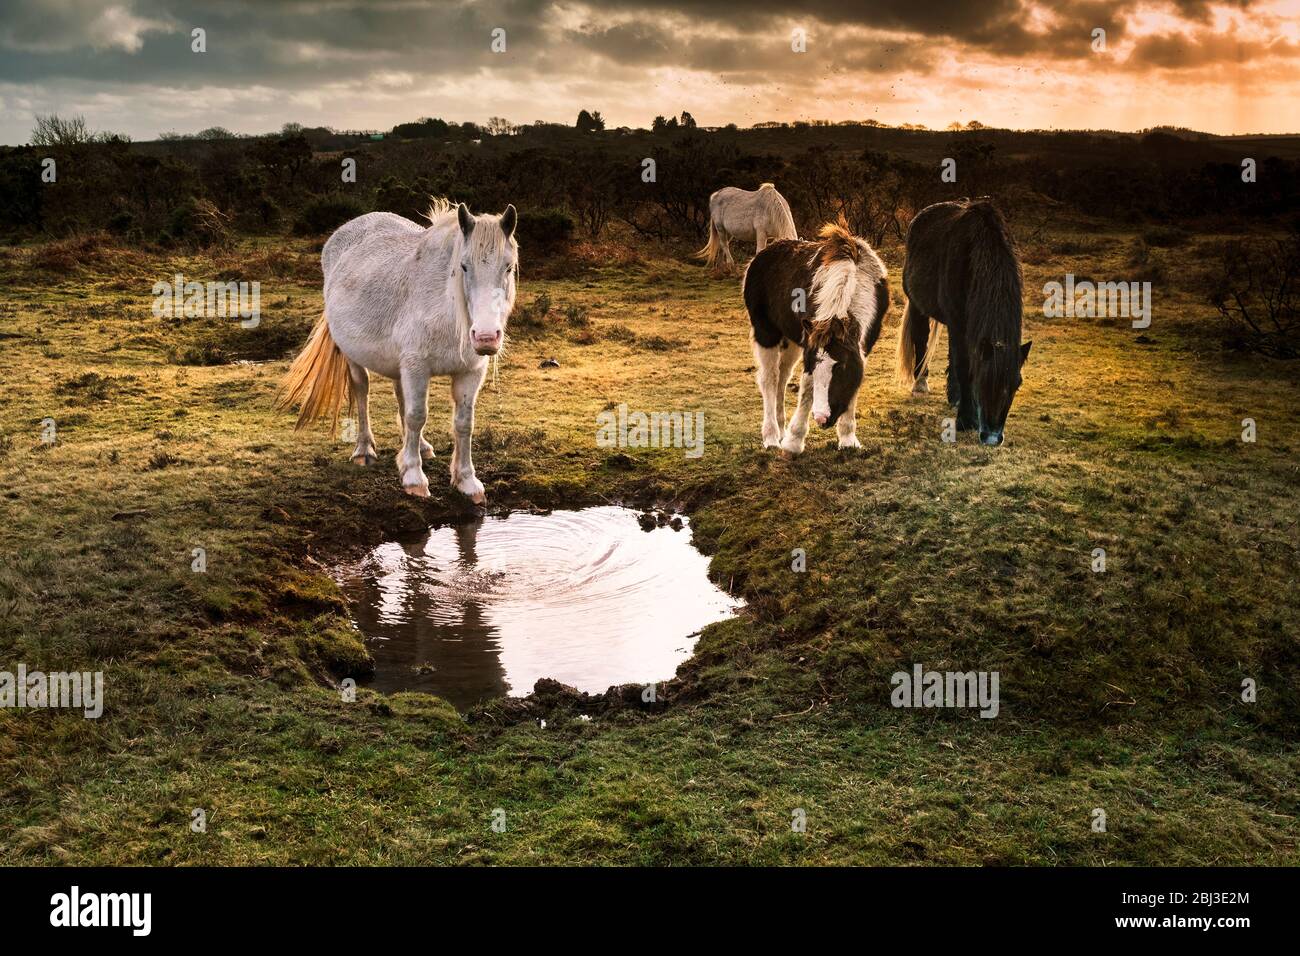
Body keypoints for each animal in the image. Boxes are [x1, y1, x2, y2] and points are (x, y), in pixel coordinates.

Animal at [279, 199, 517, 504]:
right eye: (463, 267)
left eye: (508, 268)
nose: (486, 336)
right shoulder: (416, 366)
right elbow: (417, 416)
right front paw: (414, 478)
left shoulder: (469, 372)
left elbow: (464, 423)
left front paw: (466, 481)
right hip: (354, 357)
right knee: (362, 391)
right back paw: (364, 449)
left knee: (400, 395)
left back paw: (421, 447)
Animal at [748, 222, 889, 455]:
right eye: (813, 366)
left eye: (841, 367)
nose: (822, 418)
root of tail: (765, 253)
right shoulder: (811, 344)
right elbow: (807, 389)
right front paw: (794, 441)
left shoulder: (862, 346)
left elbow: (854, 383)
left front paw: (848, 438)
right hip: (766, 333)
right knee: (769, 379)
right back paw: (771, 436)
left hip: (791, 341)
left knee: (782, 377)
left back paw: (781, 429)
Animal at [899, 200, 1029, 447]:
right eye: (982, 380)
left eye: (1017, 383)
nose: (992, 437)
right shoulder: (958, 323)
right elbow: (963, 365)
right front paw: (966, 420)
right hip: (919, 305)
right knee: (921, 337)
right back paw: (921, 383)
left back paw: (955, 396)